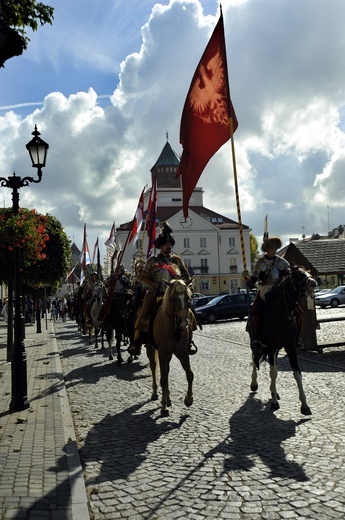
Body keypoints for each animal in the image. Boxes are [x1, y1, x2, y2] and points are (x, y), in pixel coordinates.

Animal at [145, 280, 194, 418]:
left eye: (189, 298)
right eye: (173, 299)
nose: (183, 323)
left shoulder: (182, 353)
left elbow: (190, 374)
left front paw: (189, 399)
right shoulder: (163, 353)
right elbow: (163, 380)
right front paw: (164, 408)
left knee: (166, 372)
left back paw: (168, 399)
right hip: (151, 349)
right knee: (154, 367)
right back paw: (156, 393)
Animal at [247, 266, 314, 416]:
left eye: (308, 273)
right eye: (298, 274)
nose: (313, 283)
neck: (281, 315)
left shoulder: (290, 347)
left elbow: (297, 374)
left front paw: (305, 405)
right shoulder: (271, 346)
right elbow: (272, 373)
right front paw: (273, 403)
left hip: (276, 349)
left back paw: (274, 391)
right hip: (256, 343)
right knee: (254, 358)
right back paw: (254, 384)